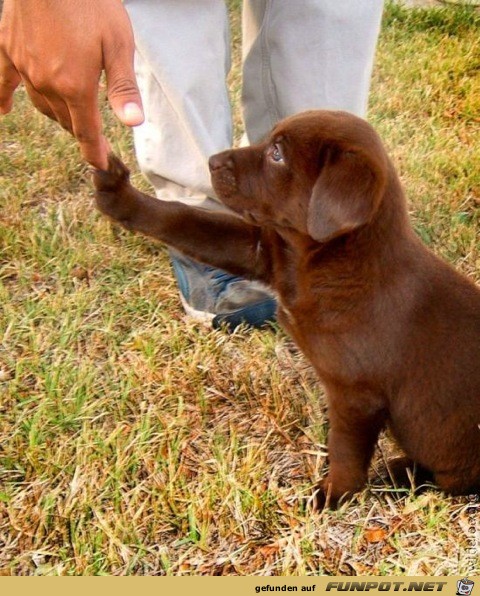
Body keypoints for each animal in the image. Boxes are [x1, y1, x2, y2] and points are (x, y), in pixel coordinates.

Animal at [94, 109, 480, 506]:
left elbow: (344, 451)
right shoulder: (263, 249)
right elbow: (185, 220)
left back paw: (401, 475)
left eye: (276, 154)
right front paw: (118, 194)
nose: (212, 161)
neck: (328, 263)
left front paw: (332, 495)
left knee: (453, 482)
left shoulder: (356, 396)